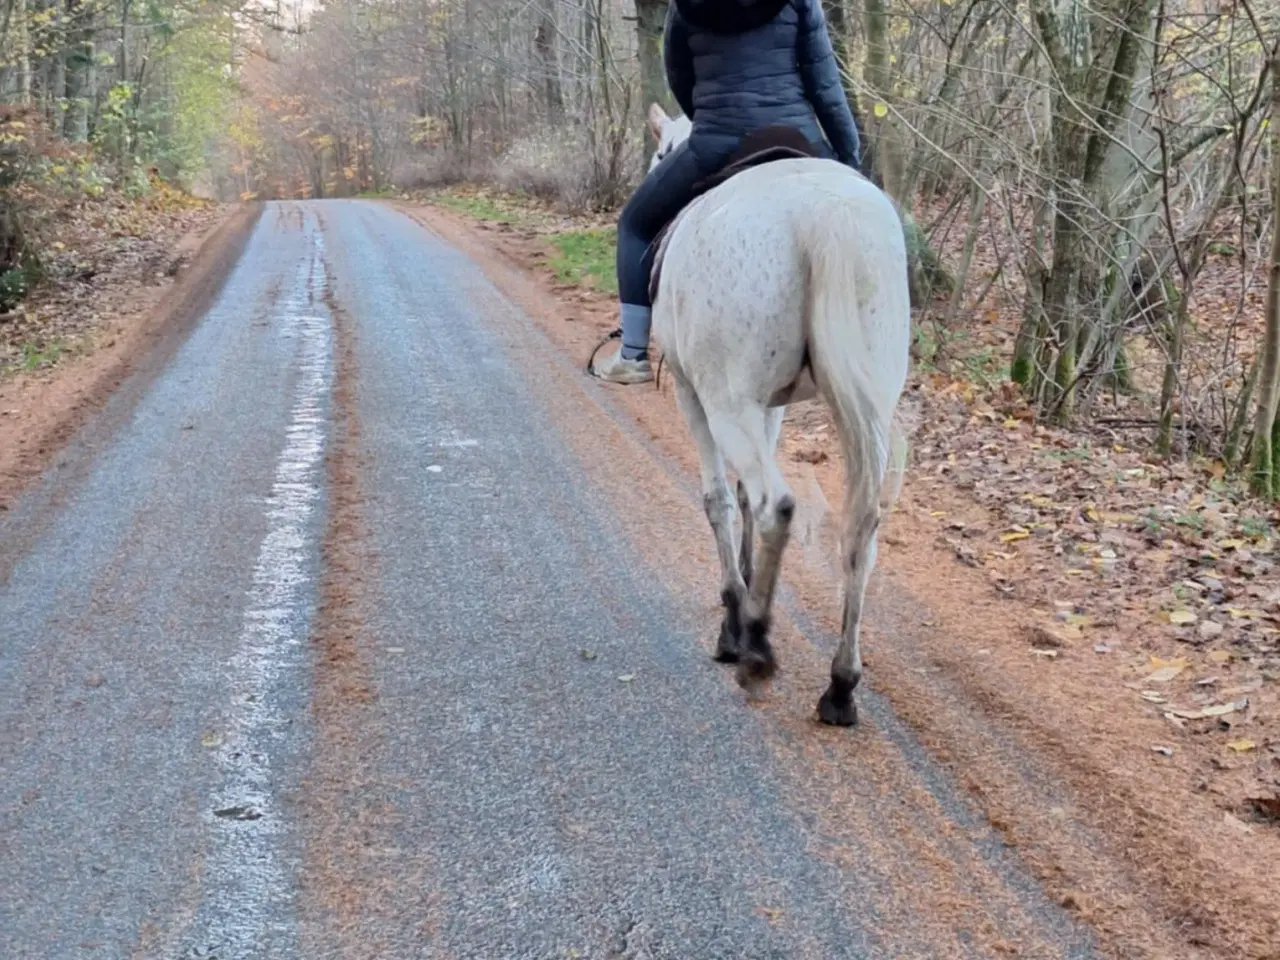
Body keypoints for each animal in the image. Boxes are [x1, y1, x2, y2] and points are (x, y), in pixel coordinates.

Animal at [645, 104, 906, 727]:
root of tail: (827, 215)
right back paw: (840, 685)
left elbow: (721, 500)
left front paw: (733, 620)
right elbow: (738, 497)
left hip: (725, 401)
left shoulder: (696, 395)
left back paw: (757, 646)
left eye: (663, 154)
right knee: (861, 530)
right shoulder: (771, 406)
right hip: (867, 401)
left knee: (776, 504)